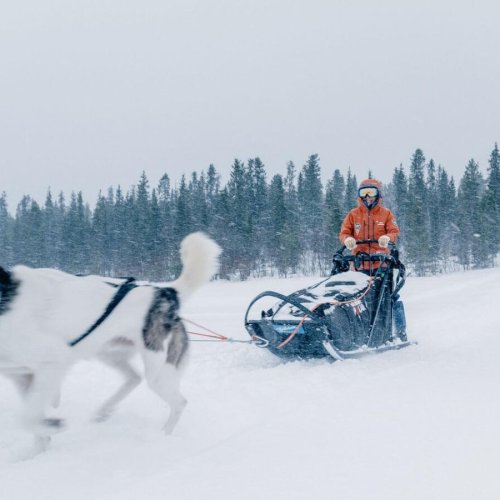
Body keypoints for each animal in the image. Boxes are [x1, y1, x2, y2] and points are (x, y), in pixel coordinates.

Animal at [0, 232, 221, 454]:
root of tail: (165, 292)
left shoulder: (53, 360)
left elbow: (26, 418)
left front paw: (51, 427)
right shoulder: (23, 376)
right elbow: (32, 419)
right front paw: (38, 450)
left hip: (157, 373)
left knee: (179, 402)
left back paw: (162, 436)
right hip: (107, 353)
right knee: (134, 378)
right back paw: (103, 411)